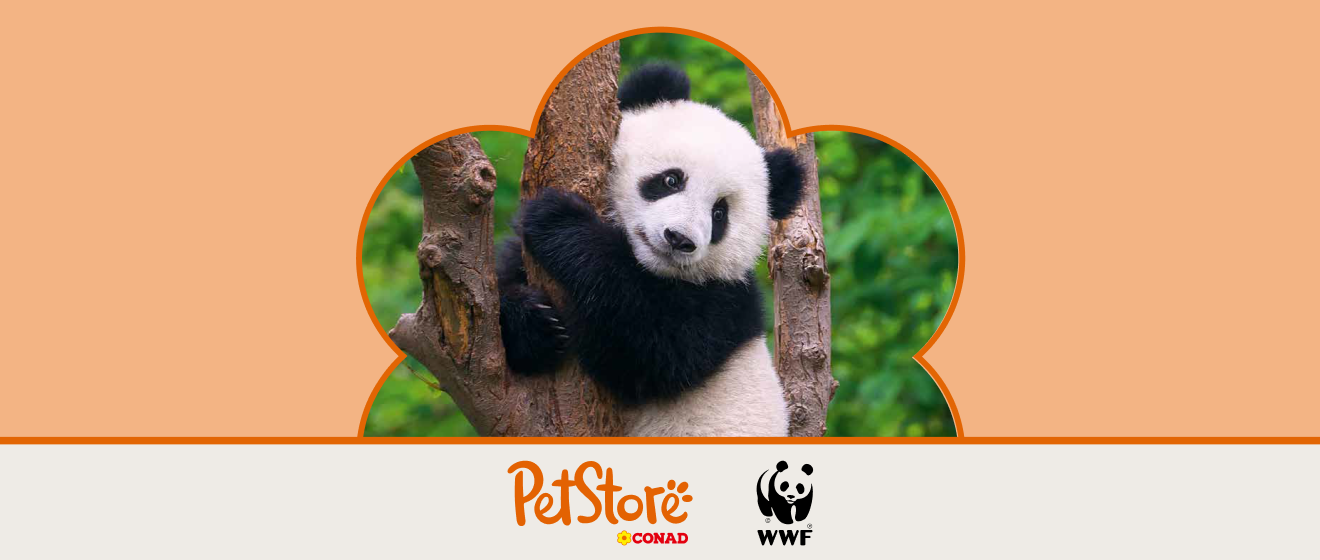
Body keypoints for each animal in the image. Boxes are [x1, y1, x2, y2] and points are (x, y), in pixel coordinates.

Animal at [495, 63, 806, 437]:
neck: (646, 267)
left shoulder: (724, 304)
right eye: (671, 180)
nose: (678, 238)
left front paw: (559, 219)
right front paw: (532, 324)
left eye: (719, 213)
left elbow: (649, 350)